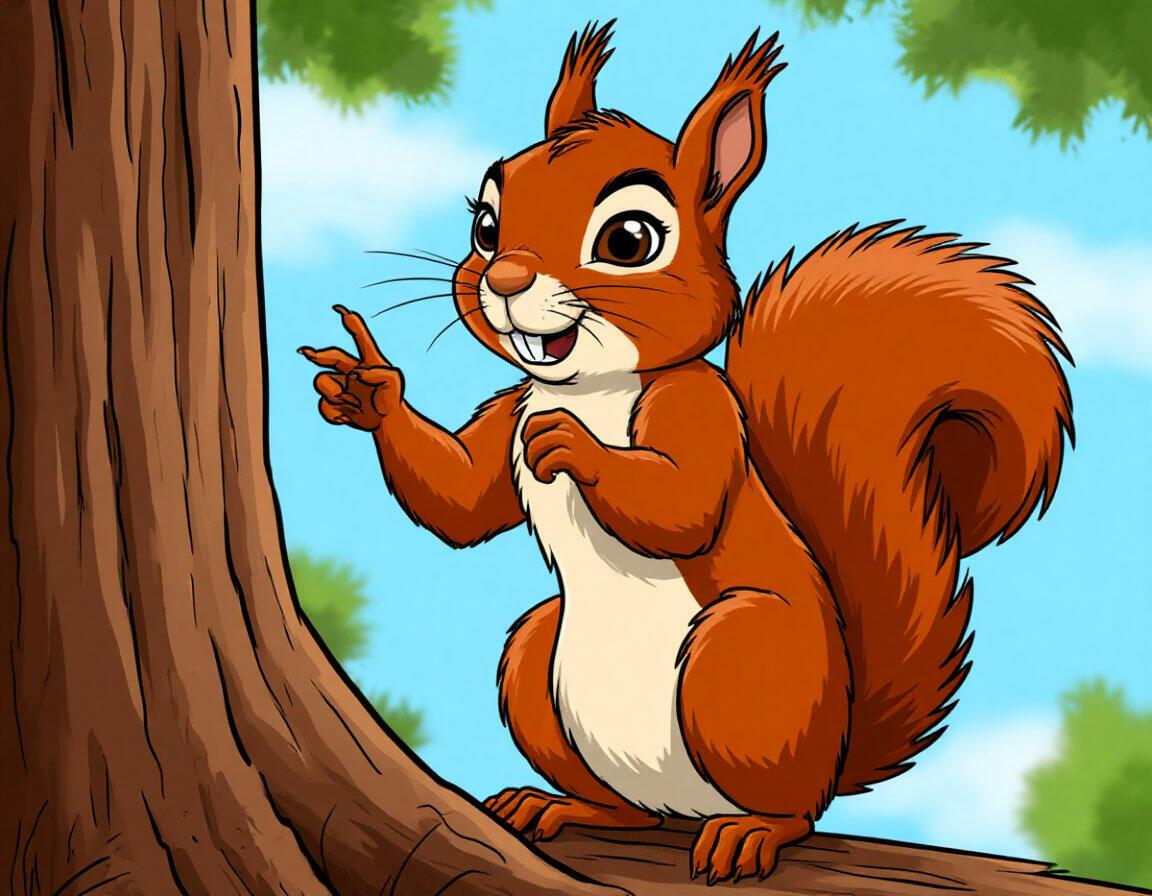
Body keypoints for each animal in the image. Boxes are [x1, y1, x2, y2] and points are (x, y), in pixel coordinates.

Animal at [300, 22, 1073, 883]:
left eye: (629, 239)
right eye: (486, 224)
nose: (503, 278)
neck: (590, 385)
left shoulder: (699, 409)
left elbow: (684, 505)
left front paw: (571, 445)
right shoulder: (508, 409)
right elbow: (460, 504)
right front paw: (368, 389)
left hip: (742, 661)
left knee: (795, 809)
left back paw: (753, 831)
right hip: (540, 657)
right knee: (620, 795)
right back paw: (561, 805)